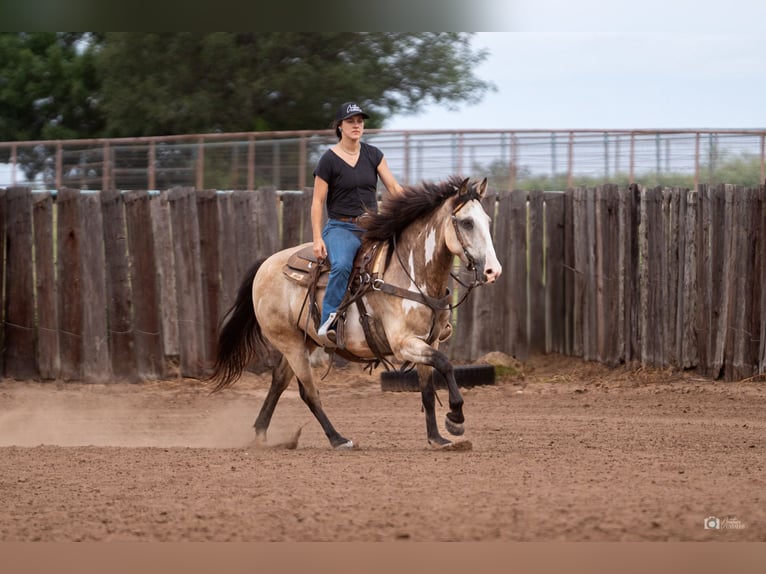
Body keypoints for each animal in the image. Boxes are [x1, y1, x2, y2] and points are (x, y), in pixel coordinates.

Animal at [207, 176, 504, 450]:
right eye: (467, 222)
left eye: (488, 220)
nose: (493, 271)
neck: (412, 275)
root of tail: (265, 265)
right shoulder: (403, 343)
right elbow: (446, 364)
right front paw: (455, 418)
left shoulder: (428, 341)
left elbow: (428, 389)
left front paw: (437, 438)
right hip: (289, 342)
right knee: (308, 392)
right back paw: (338, 439)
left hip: (303, 340)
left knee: (279, 381)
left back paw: (261, 435)